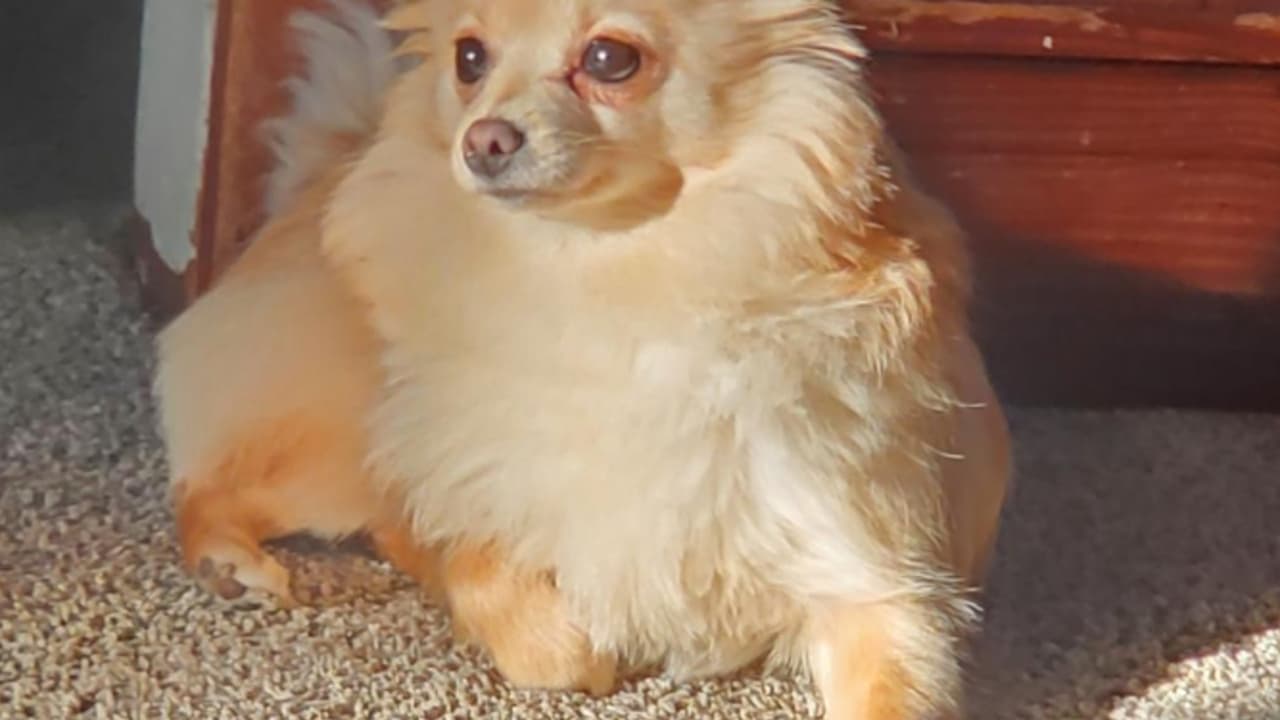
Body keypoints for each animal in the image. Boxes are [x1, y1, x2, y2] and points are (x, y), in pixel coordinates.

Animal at [154, 1, 1012, 717]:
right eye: (469, 58)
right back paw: (230, 562)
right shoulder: (477, 500)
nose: (484, 137)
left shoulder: (872, 578)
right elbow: (516, 611)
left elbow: (893, 691)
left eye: (608, 58)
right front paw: (574, 643)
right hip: (337, 439)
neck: (599, 276)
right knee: (213, 487)